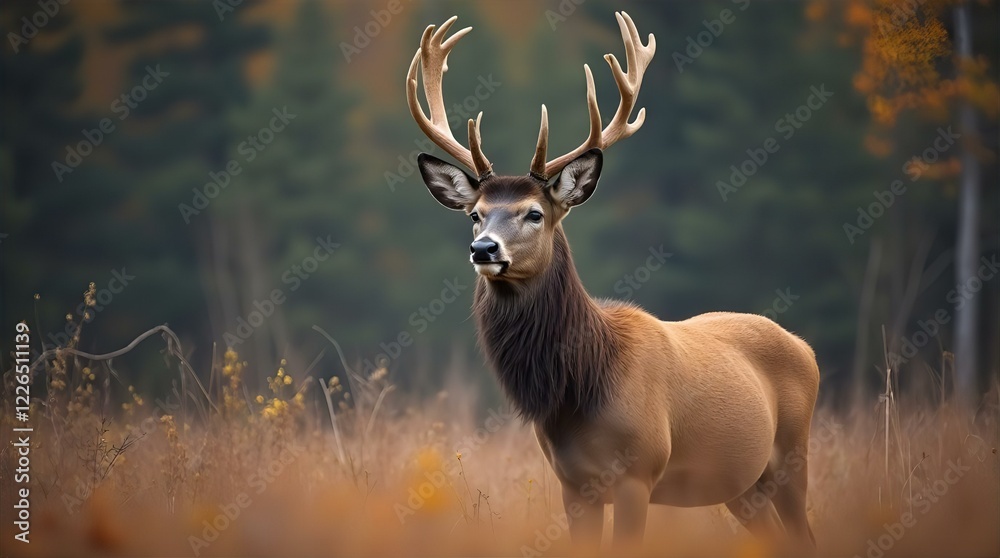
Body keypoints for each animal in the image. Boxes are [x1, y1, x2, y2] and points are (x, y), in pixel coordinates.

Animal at [405, 12, 820, 554]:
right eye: (475, 214)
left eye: (534, 213)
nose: (485, 250)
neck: (582, 385)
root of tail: (805, 347)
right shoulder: (571, 482)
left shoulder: (639, 471)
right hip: (740, 486)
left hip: (793, 454)